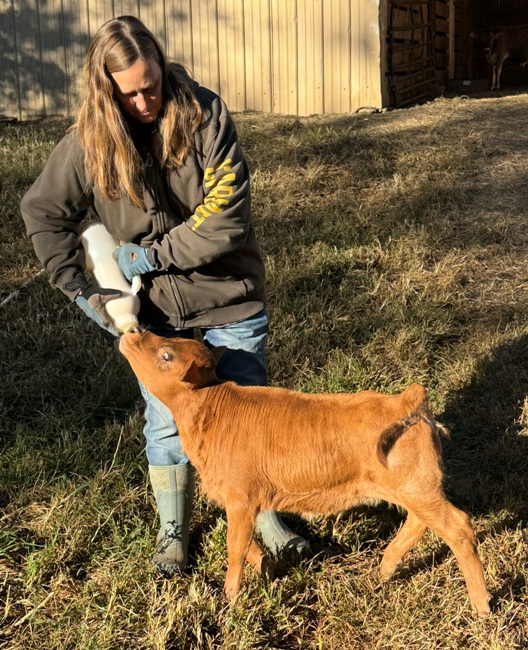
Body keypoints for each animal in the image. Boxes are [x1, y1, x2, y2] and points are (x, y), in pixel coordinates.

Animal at [119, 326, 490, 616]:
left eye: (166, 354)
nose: (134, 331)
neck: (210, 410)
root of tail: (403, 400)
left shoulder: (241, 495)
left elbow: (234, 546)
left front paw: (230, 598)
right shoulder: (239, 497)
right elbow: (245, 542)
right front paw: (266, 568)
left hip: (417, 486)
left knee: (458, 528)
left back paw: (482, 605)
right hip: (412, 487)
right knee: (421, 522)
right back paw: (385, 570)